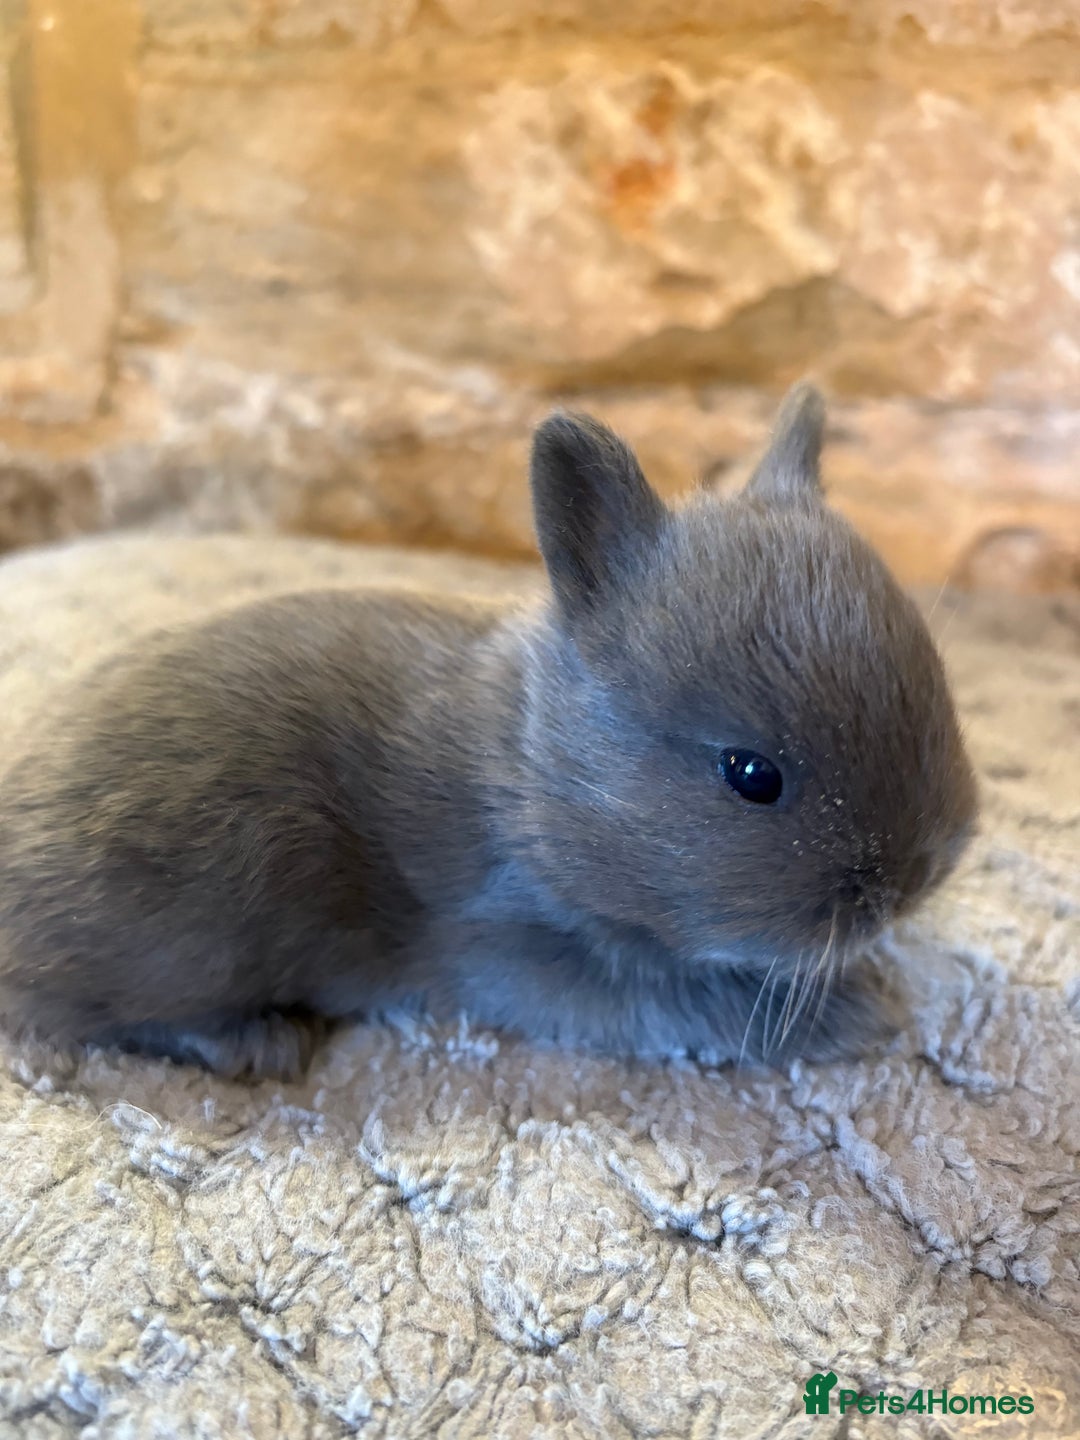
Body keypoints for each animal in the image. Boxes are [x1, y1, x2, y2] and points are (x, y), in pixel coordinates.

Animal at [0, 384, 977, 1079]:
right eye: (751, 775)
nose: (919, 876)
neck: (535, 772)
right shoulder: (526, 950)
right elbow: (696, 1005)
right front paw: (861, 1012)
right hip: (198, 925)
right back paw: (255, 1044)